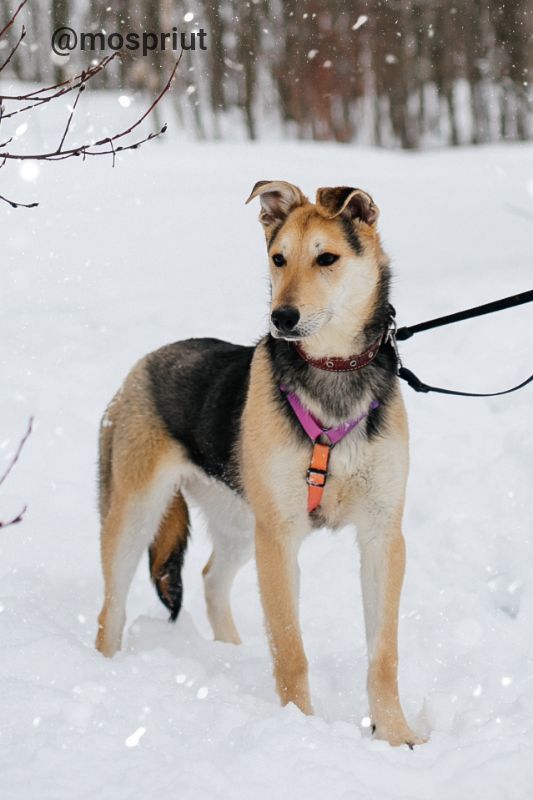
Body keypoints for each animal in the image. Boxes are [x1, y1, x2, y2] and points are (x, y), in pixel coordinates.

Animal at [93, 178, 422, 748]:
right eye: (278, 258)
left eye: (326, 258)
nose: (281, 318)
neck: (332, 372)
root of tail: (141, 366)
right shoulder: (281, 538)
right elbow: (290, 650)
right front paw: (301, 732)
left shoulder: (382, 535)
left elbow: (383, 655)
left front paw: (395, 734)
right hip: (139, 515)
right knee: (110, 610)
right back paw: (106, 674)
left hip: (242, 524)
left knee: (209, 578)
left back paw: (230, 654)